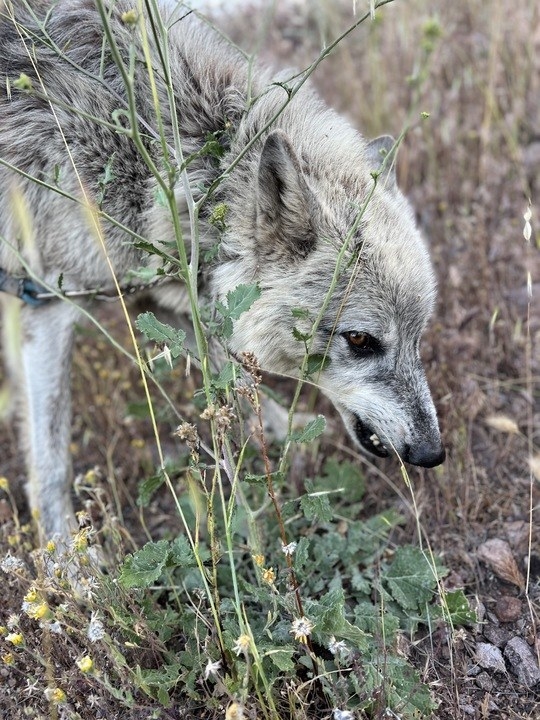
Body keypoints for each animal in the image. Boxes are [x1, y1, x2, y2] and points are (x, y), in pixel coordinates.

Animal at [0, 0, 446, 540]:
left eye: (418, 336)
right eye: (360, 340)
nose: (433, 453)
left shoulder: (164, 296)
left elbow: (232, 374)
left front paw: (280, 429)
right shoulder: (47, 305)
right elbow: (52, 457)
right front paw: (66, 550)